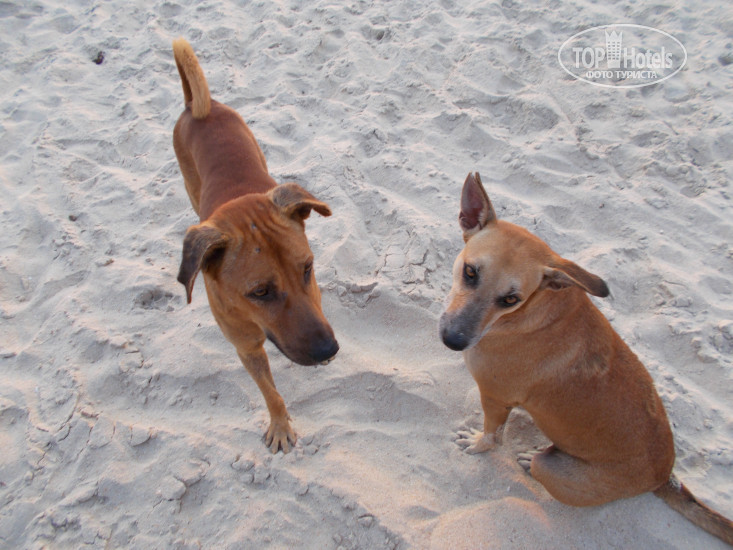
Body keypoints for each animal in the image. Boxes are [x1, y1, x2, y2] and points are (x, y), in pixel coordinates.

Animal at [172, 38, 338, 453]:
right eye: (260, 292)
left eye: (307, 268)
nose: (329, 351)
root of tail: (198, 107)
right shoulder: (246, 348)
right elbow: (270, 393)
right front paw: (279, 424)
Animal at [439, 172, 733, 544]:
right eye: (470, 272)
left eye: (510, 299)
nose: (453, 341)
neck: (534, 310)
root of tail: (664, 476)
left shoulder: (494, 398)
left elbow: (493, 436)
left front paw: (478, 444)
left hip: (555, 469)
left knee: (540, 464)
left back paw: (531, 461)